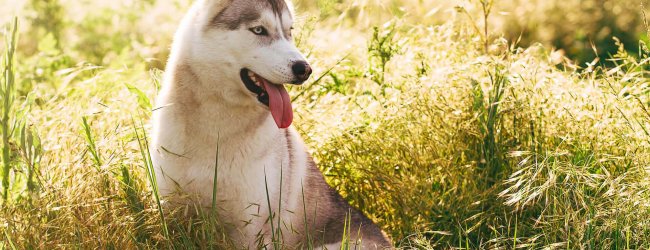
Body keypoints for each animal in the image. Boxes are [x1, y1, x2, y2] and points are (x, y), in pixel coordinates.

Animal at [151, 0, 390, 249]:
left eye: (289, 31)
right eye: (259, 30)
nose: (304, 69)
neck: (214, 130)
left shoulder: (251, 230)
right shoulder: (172, 211)